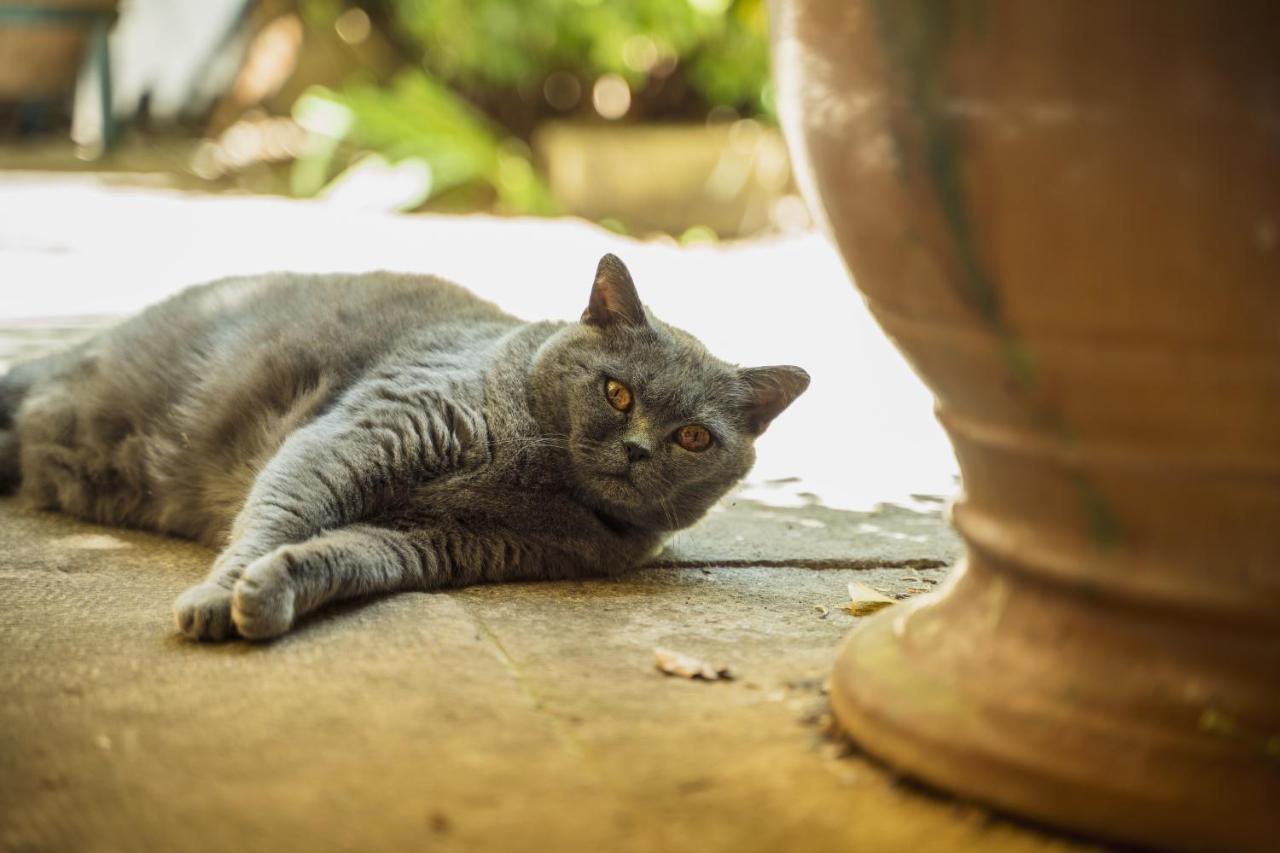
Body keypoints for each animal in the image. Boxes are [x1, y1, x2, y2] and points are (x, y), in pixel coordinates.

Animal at [0, 252, 803, 637]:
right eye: (618, 393)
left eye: (693, 436)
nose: (638, 448)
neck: (534, 477)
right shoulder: (363, 432)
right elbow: (278, 516)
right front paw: (219, 596)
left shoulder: (439, 540)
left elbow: (341, 554)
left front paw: (268, 593)